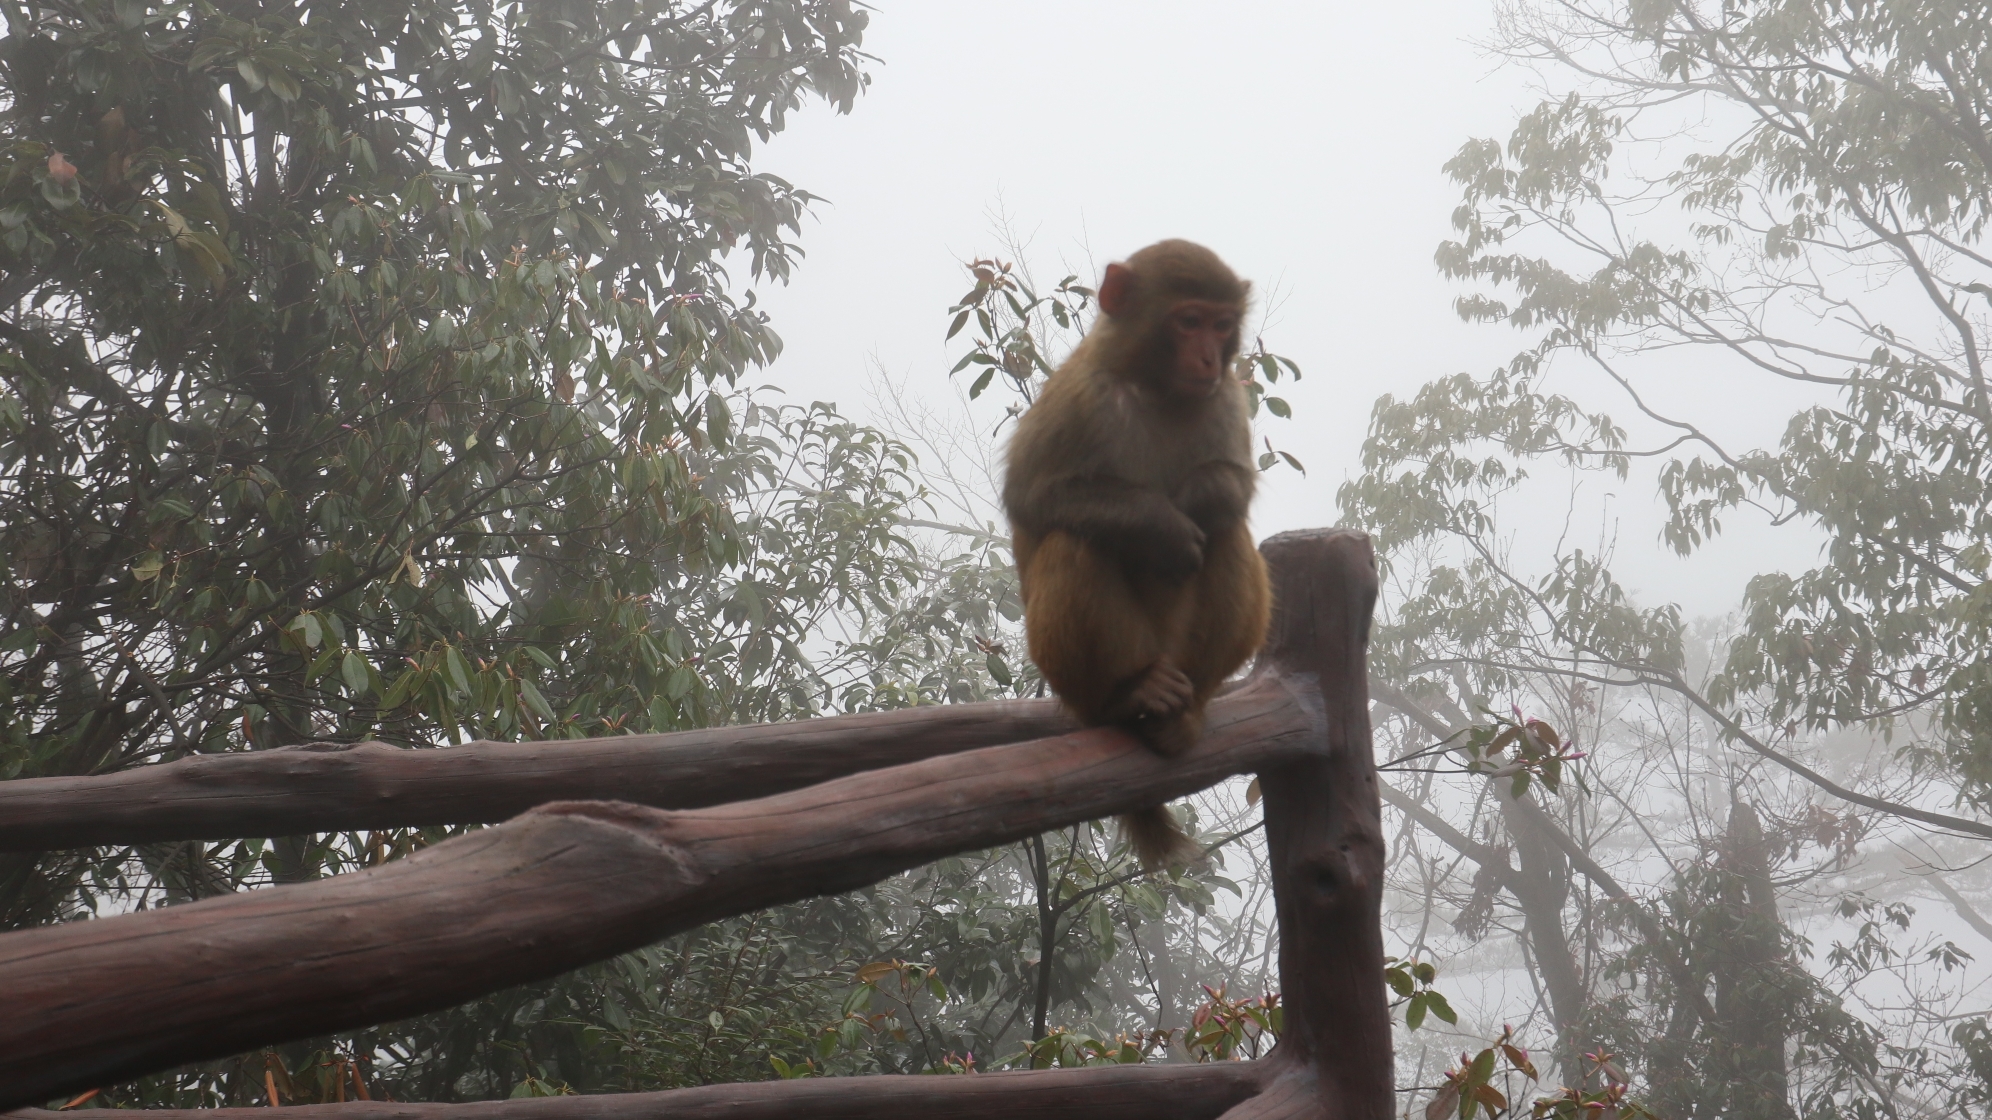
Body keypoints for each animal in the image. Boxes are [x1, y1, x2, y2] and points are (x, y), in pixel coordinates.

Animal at [1003, 237, 1266, 864]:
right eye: (1189, 321)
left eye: (1222, 325)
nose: (1209, 360)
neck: (1156, 388)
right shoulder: (1078, 396)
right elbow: (1031, 495)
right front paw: (1160, 525)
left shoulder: (1226, 398)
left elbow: (1234, 486)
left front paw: (1201, 495)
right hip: (1097, 668)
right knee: (1075, 540)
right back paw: (1127, 696)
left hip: (1184, 652)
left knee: (1228, 532)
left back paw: (1188, 709)